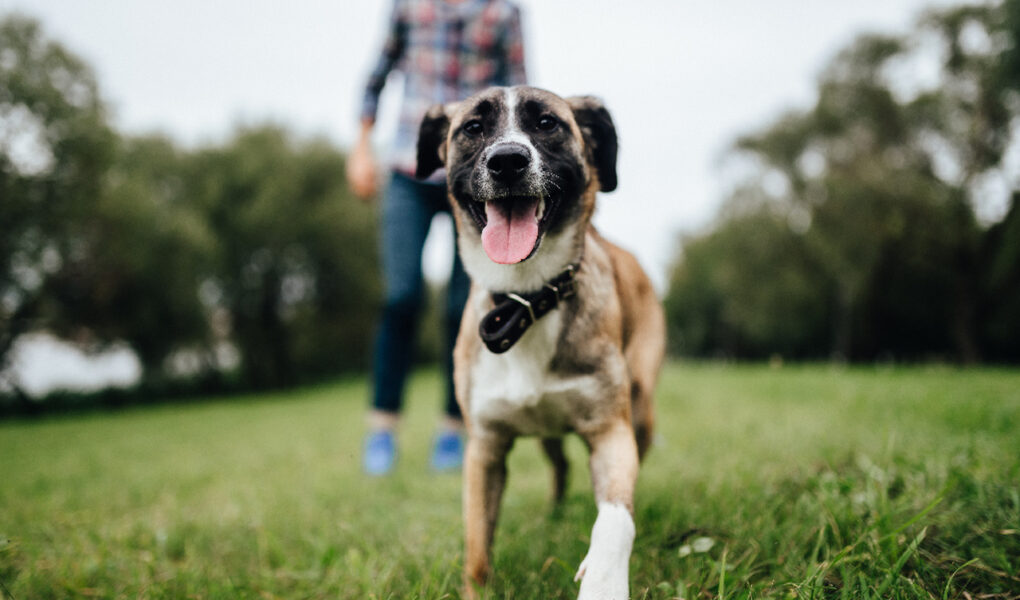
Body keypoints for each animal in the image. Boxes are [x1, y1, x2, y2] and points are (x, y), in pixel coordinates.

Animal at [418, 85, 665, 600]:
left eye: (547, 123)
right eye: (473, 128)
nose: (507, 161)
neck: (527, 298)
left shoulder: (610, 432)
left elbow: (615, 519)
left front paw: (605, 580)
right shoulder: (485, 449)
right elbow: (477, 548)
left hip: (641, 409)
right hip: (547, 433)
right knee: (560, 466)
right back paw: (555, 514)